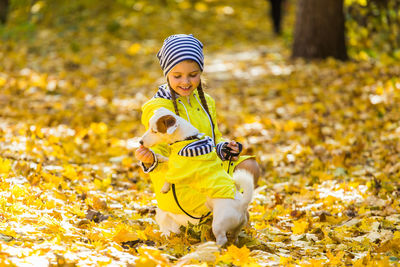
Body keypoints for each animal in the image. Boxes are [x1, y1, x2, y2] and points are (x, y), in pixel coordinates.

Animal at [141, 107, 253, 247]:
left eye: (154, 131)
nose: (140, 142)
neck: (185, 139)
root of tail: (242, 204)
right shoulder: (174, 162)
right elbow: (167, 160)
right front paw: (157, 157)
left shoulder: (179, 170)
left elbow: (168, 177)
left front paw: (165, 188)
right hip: (237, 228)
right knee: (235, 237)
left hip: (219, 224)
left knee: (222, 239)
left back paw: (213, 247)